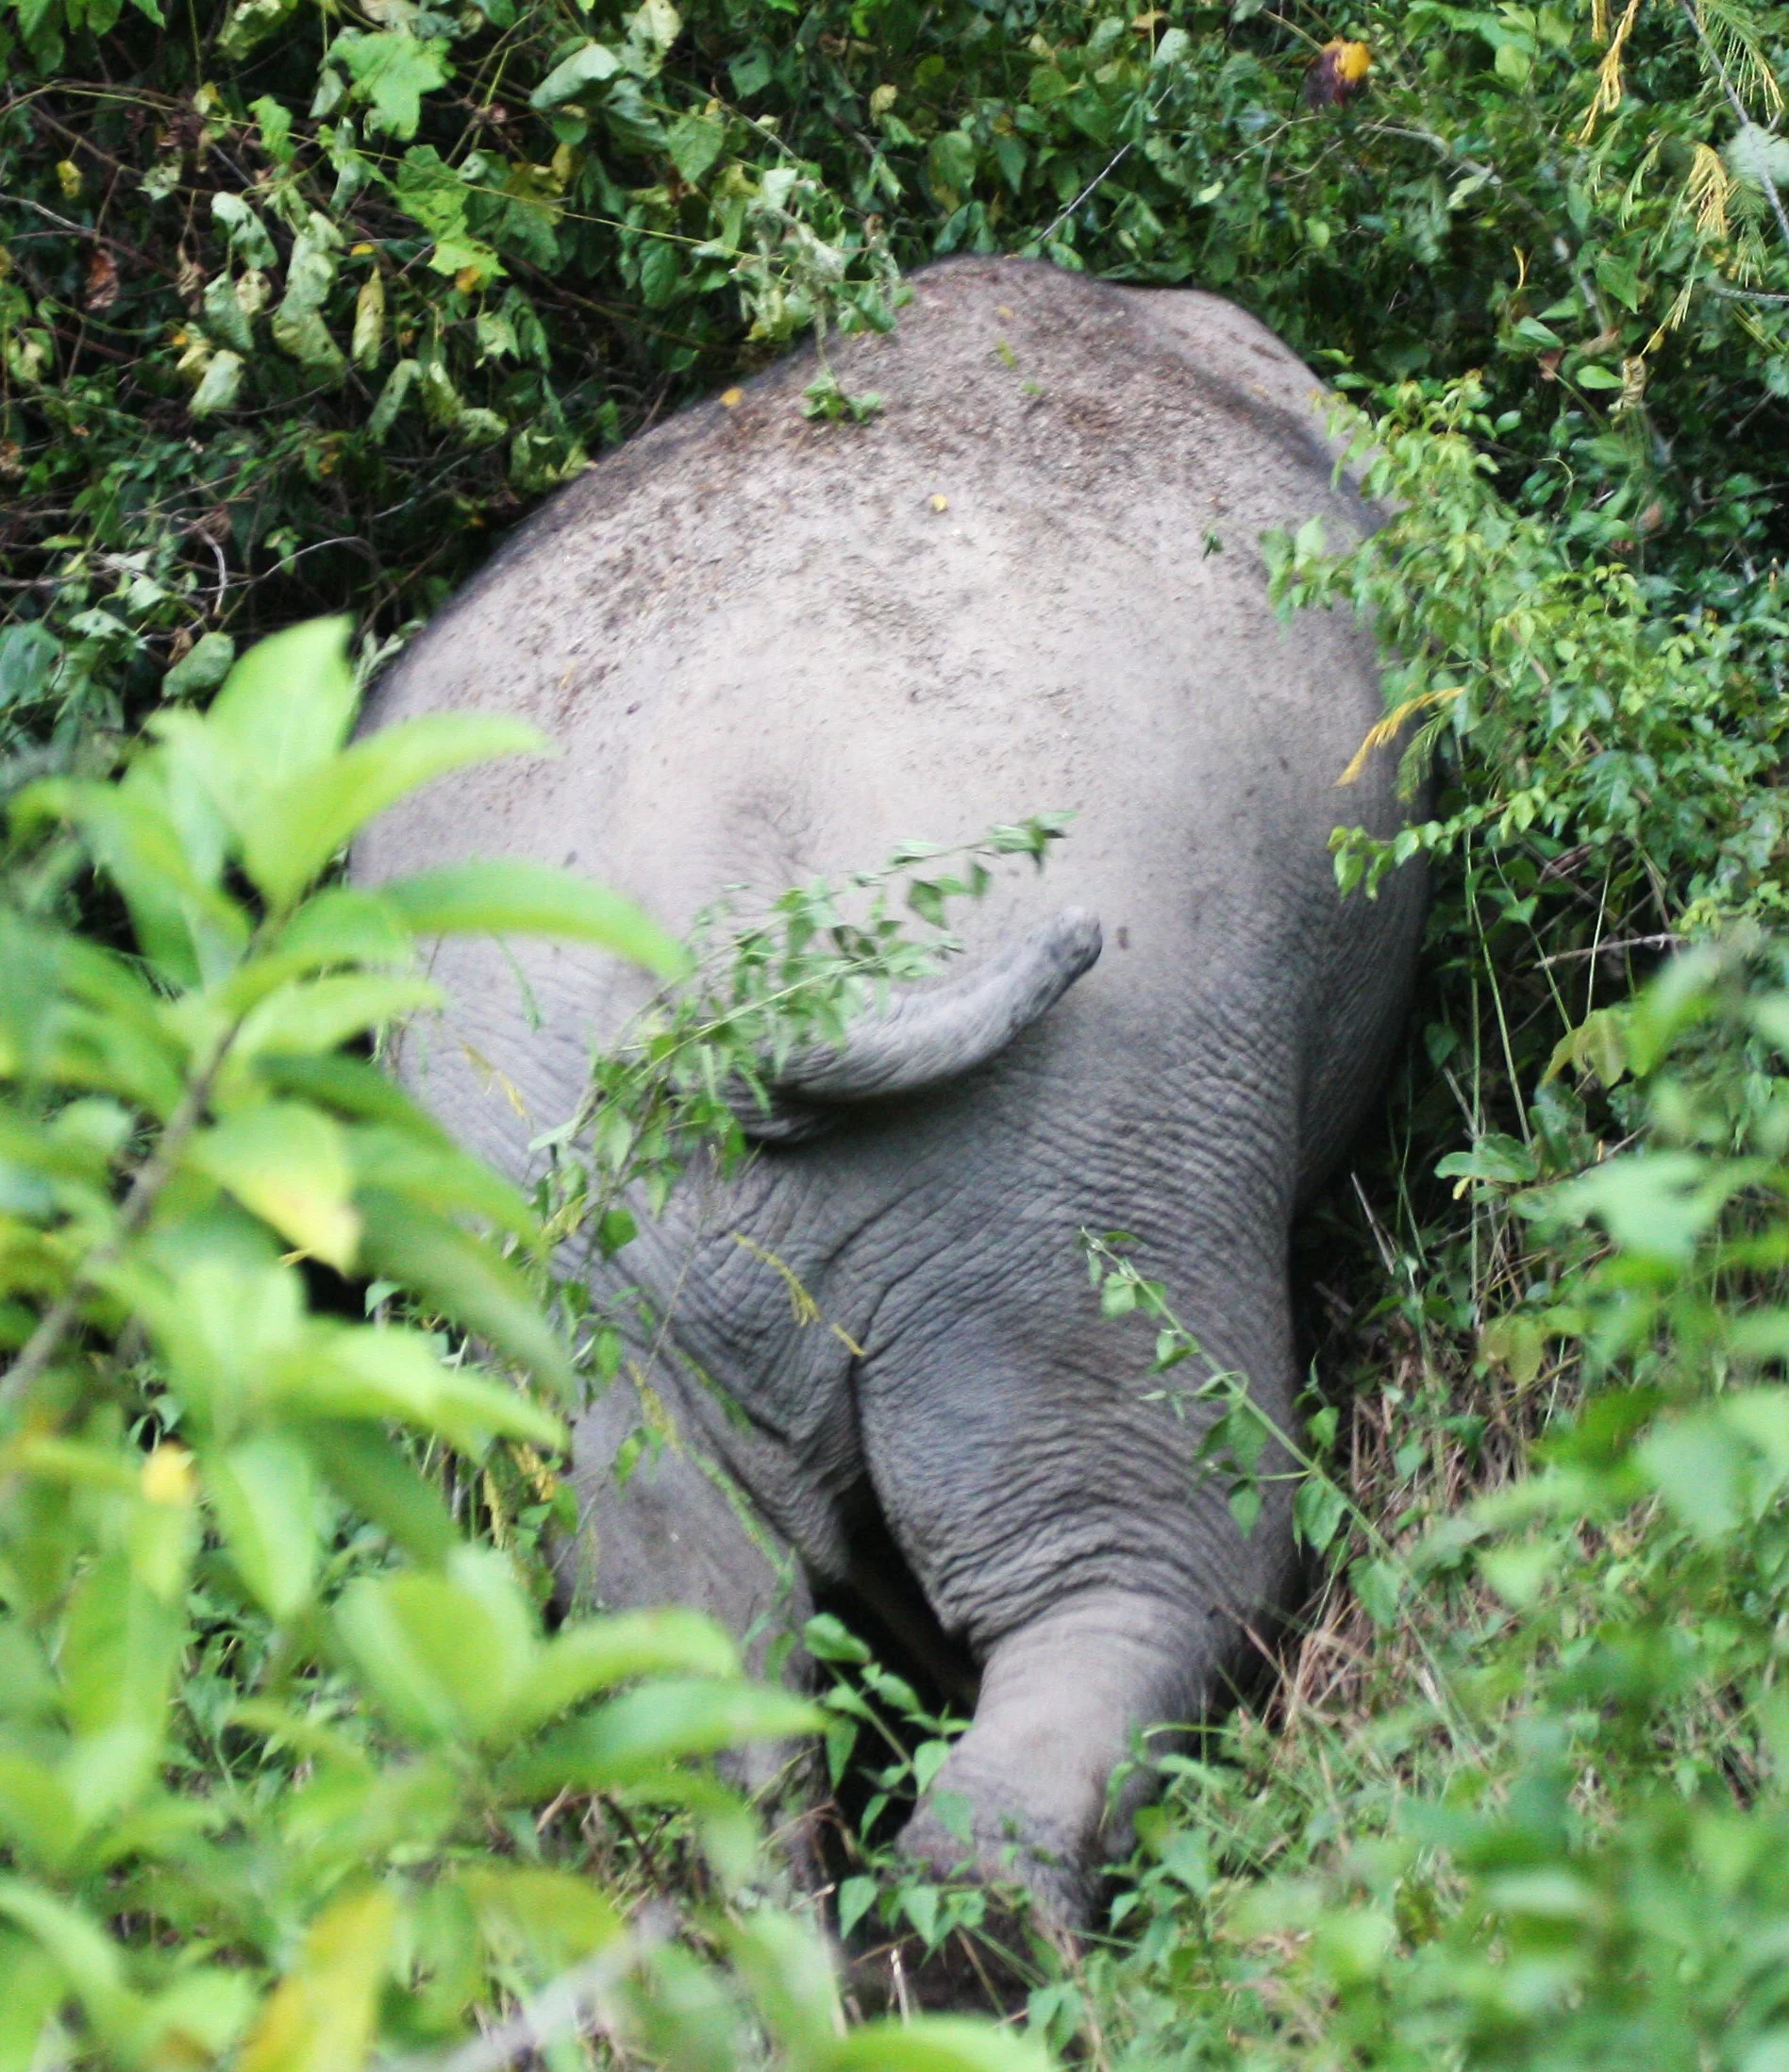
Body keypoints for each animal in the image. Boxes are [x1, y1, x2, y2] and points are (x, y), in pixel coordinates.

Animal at [352, 255, 1425, 1928]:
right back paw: (978, 1935)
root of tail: (732, 979)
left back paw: (771, 1924)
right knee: (1159, 1555)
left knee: (698, 1615)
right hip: (1099, 1142)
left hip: (561, 1259)